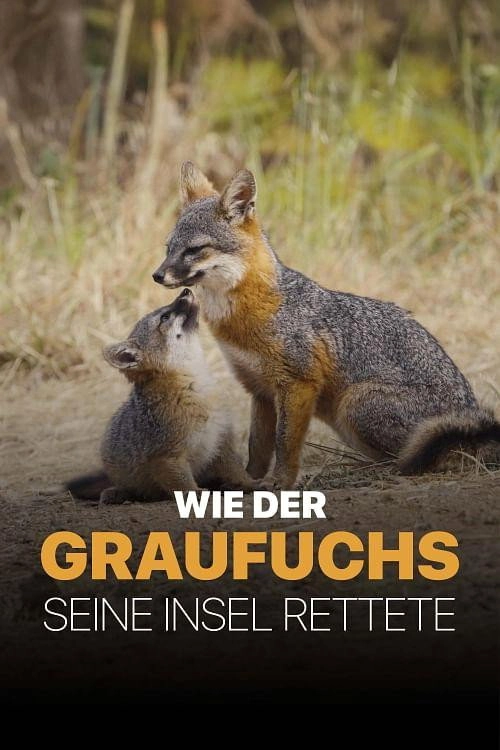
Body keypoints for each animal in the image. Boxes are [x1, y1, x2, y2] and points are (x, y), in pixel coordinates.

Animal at [66, 288, 255, 503]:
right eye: (164, 317)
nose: (185, 290)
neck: (198, 388)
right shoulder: (166, 456)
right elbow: (183, 484)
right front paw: (196, 494)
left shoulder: (221, 440)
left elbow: (236, 470)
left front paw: (249, 483)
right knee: (125, 487)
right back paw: (115, 493)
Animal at [151, 161, 500, 489]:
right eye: (168, 248)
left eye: (194, 250)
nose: (157, 275)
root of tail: (469, 409)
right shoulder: (259, 389)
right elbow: (258, 446)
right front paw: (248, 480)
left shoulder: (298, 383)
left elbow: (285, 442)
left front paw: (280, 482)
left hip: (355, 404)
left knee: (419, 456)